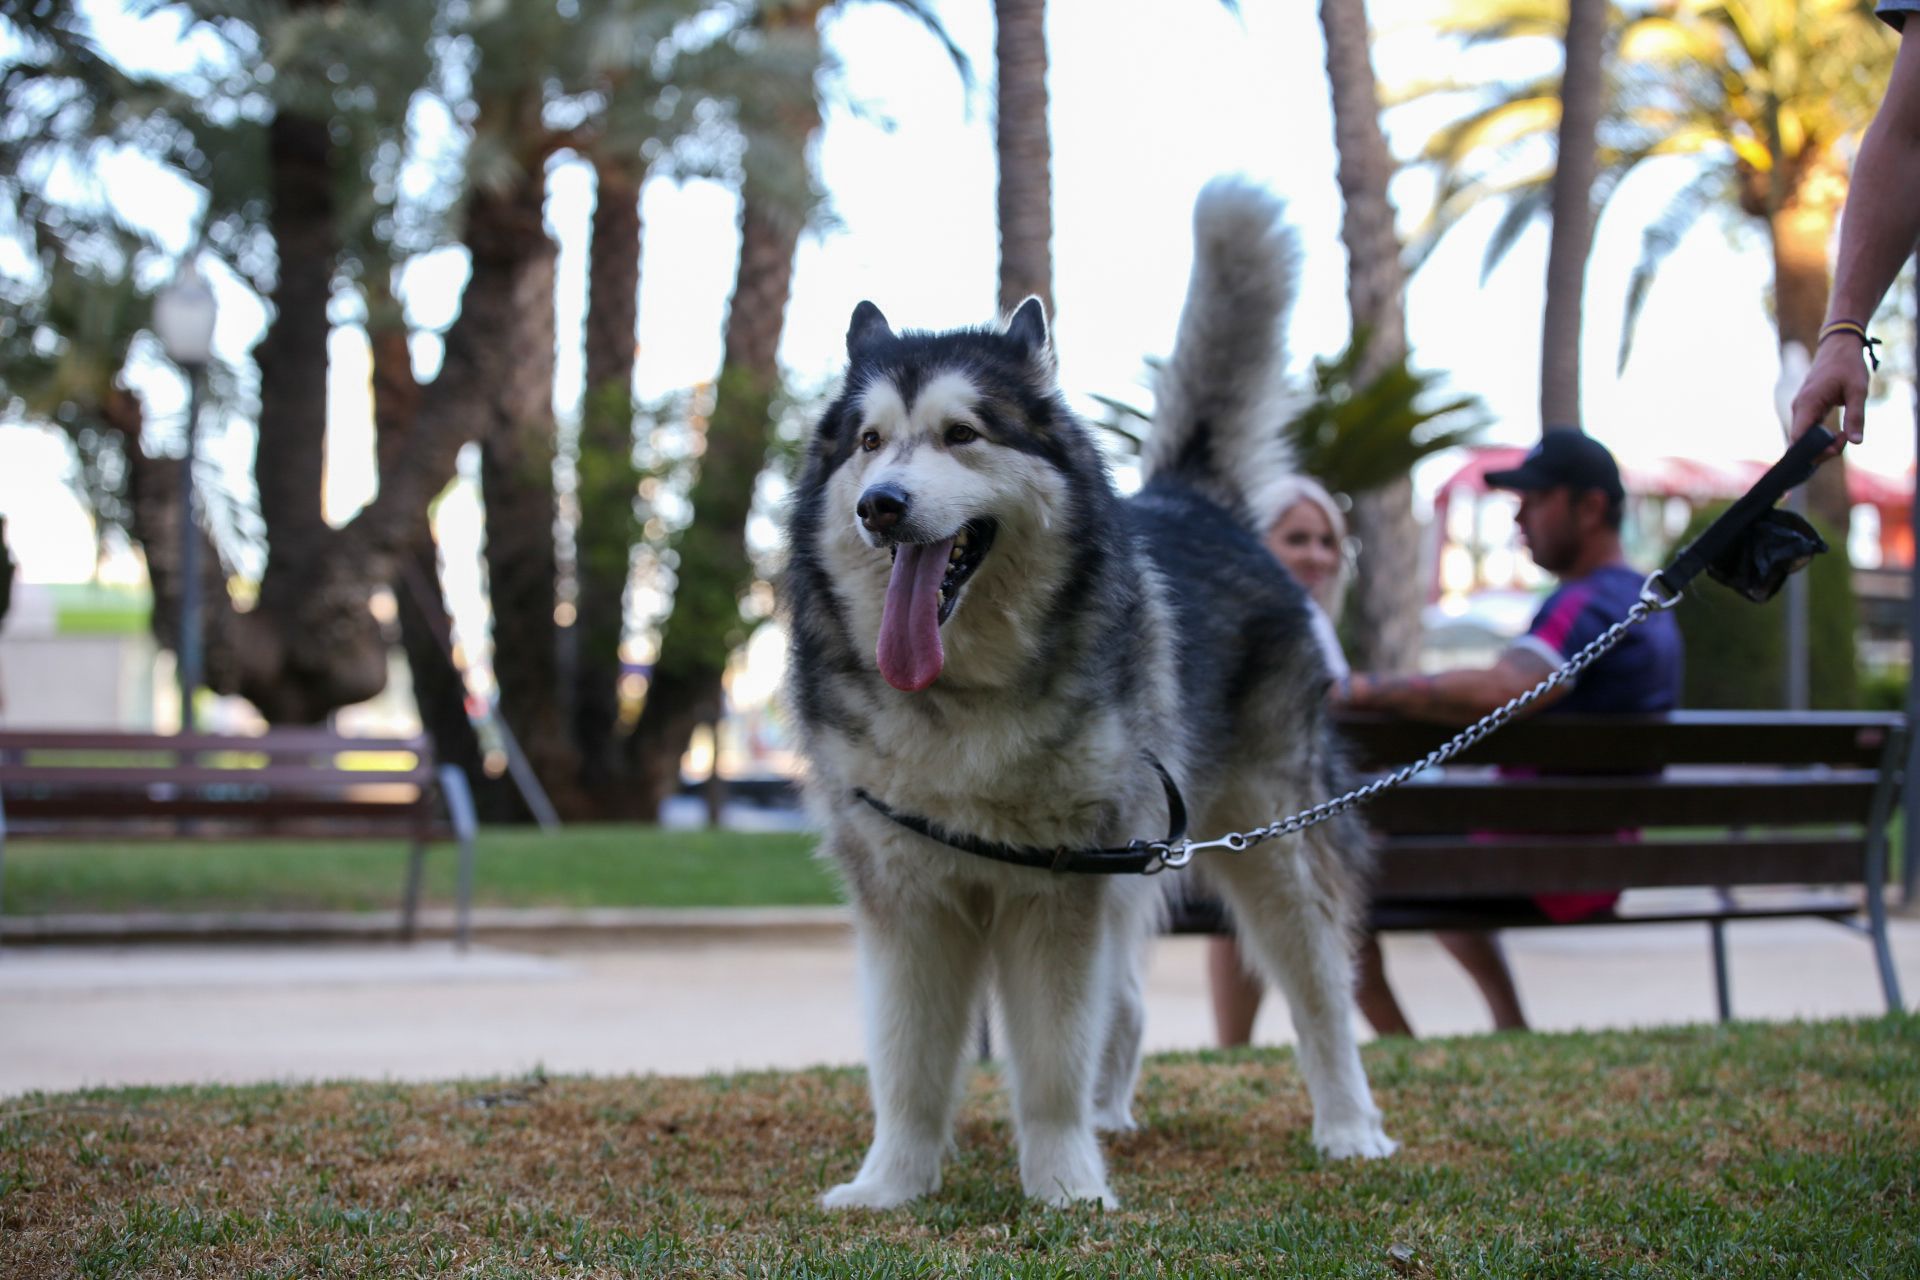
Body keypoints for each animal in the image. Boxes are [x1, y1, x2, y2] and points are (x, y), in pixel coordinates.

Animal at [779, 180, 1397, 1212]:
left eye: (962, 435)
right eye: (869, 443)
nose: (881, 505)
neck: (961, 695)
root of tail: (1195, 499)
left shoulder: (1054, 890)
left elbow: (1049, 1059)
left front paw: (1067, 1184)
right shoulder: (909, 896)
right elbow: (907, 1066)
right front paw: (892, 1185)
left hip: (1275, 842)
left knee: (1321, 996)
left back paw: (1349, 1127)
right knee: (1131, 1003)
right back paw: (1113, 1115)